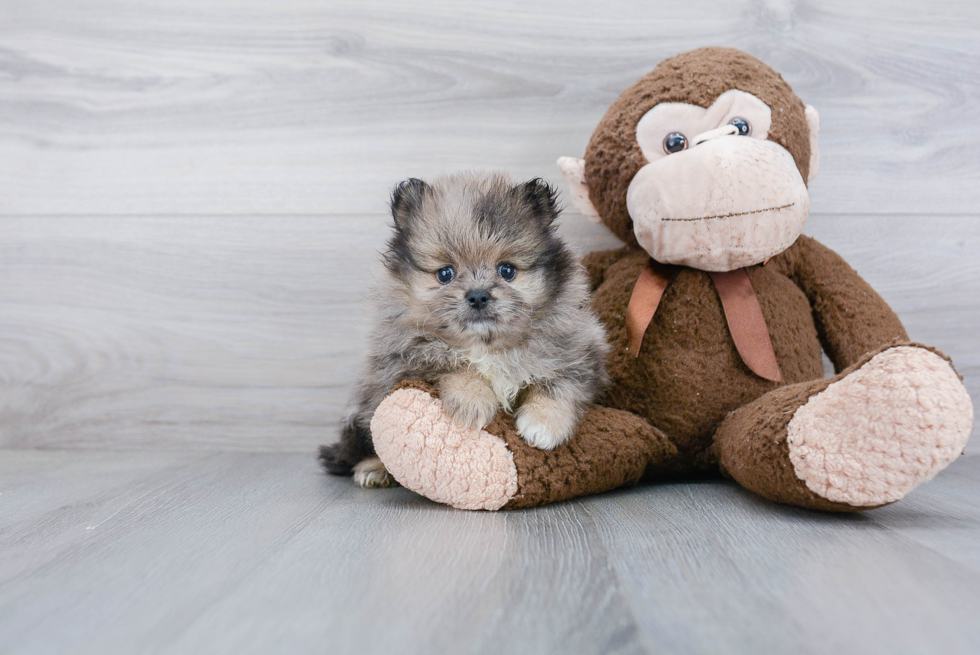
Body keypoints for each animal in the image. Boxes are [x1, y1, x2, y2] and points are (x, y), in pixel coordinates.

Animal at [318, 172, 608, 490]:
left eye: (507, 270)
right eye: (445, 274)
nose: (478, 295)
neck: (485, 346)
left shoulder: (578, 351)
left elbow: (557, 385)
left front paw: (544, 425)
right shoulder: (404, 358)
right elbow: (454, 364)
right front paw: (473, 400)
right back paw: (374, 469)